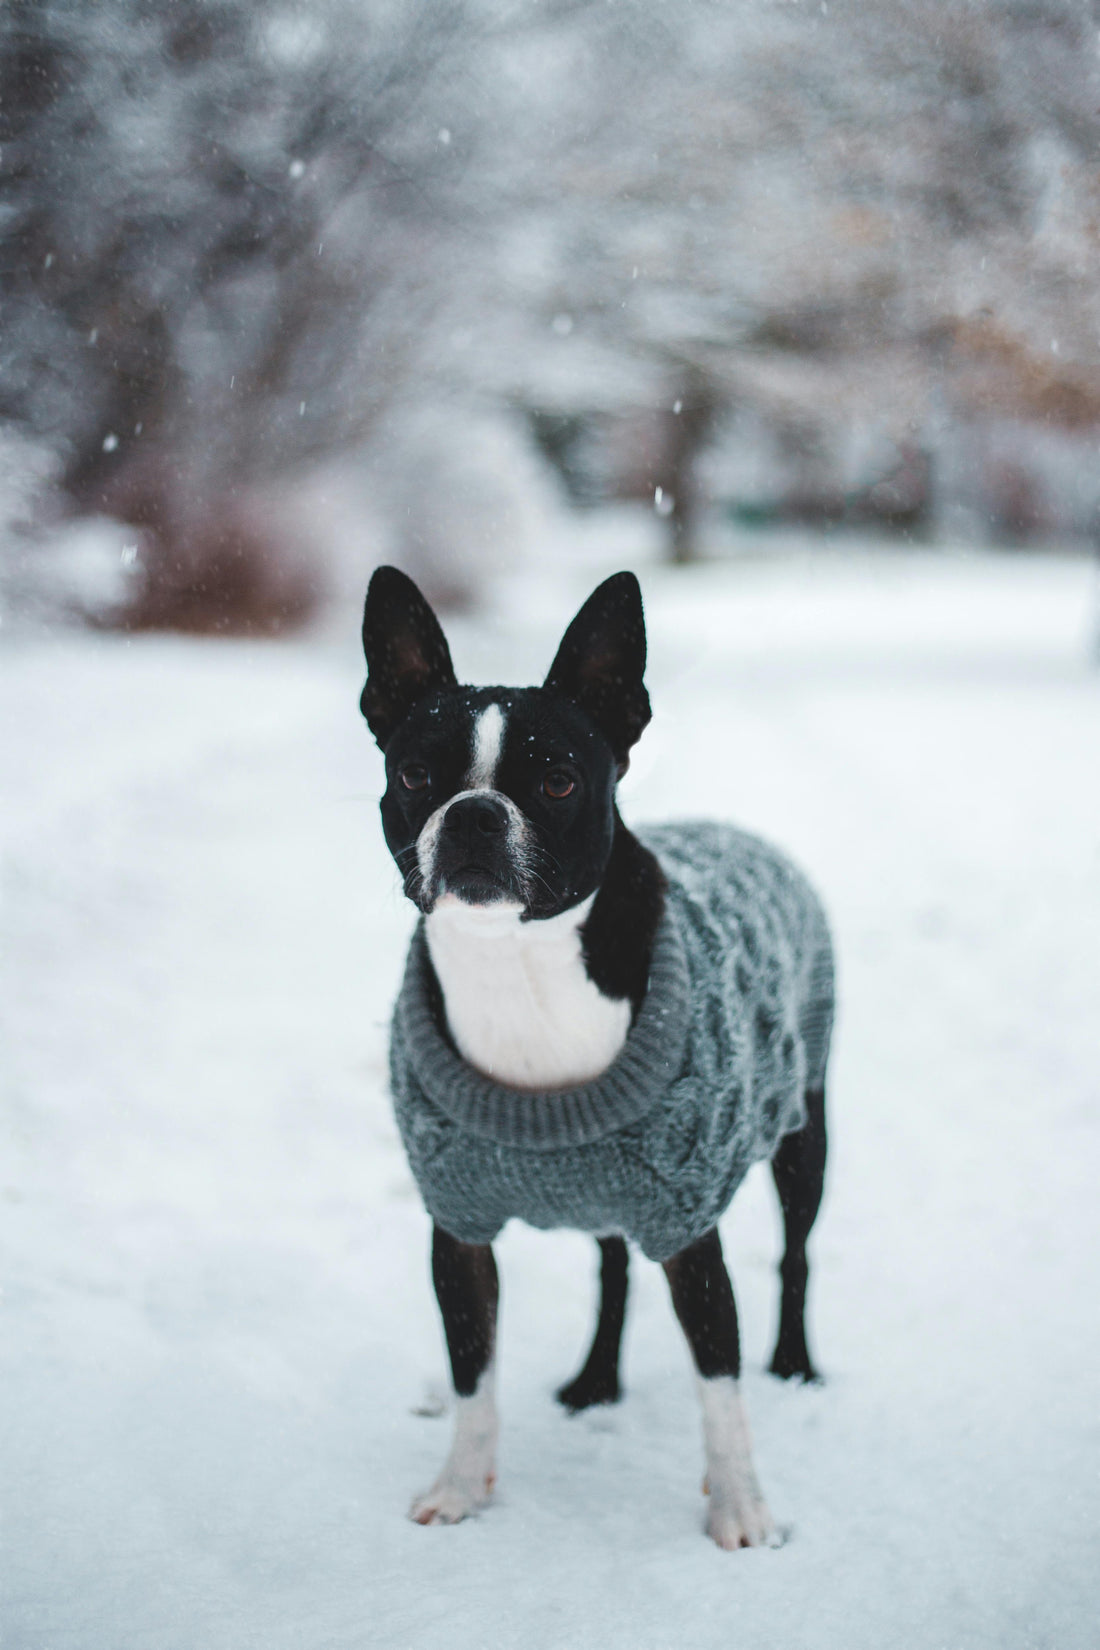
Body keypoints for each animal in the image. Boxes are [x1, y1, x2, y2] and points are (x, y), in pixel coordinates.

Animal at [361, 564, 834, 1544]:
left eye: (557, 780)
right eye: (415, 774)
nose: (473, 814)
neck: (520, 961)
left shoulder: (690, 1229)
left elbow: (720, 1387)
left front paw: (741, 1511)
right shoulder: (458, 1227)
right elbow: (472, 1374)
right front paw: (461, 1489)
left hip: (805, 1127)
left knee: (796, 1253)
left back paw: (796, 1362)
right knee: (613, 1269)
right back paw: (595, 1380)